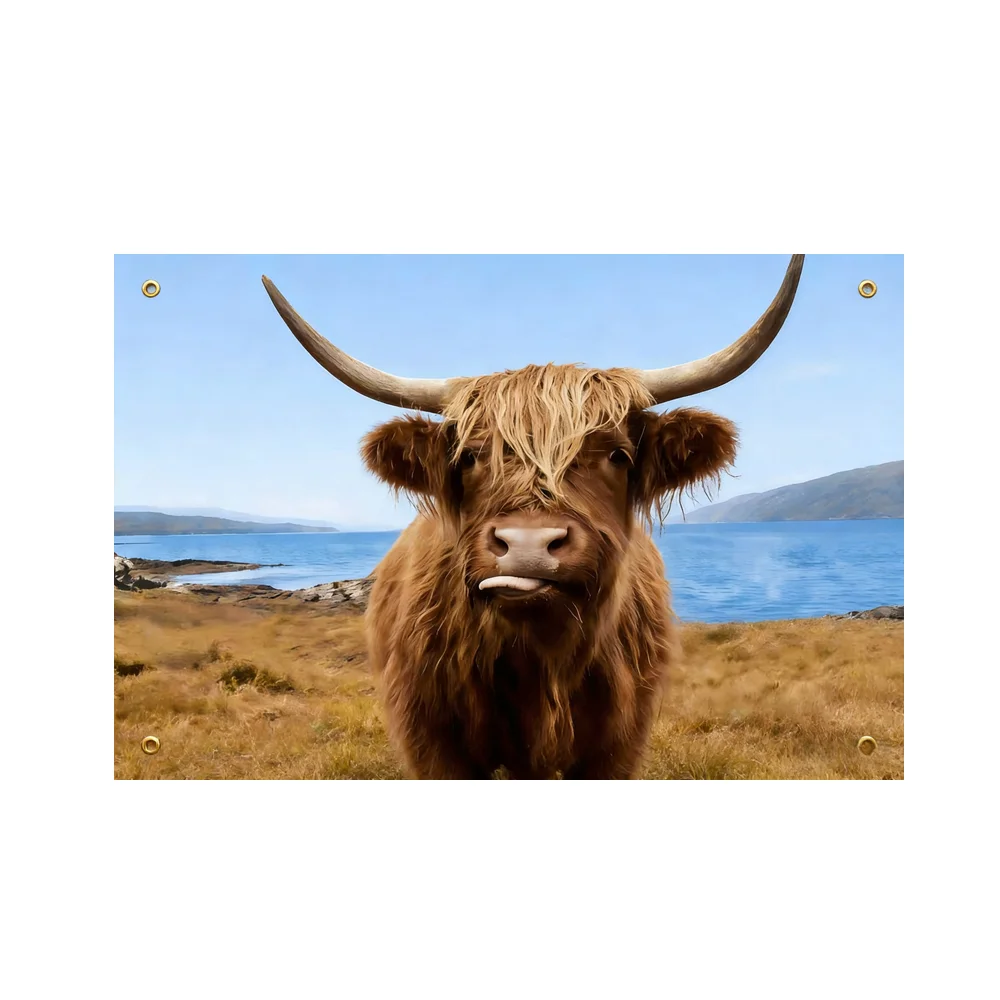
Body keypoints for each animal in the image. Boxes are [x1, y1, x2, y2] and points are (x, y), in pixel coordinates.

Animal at [262, 255, 804, 779]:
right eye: (468, 457)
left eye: (618, 456)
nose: (528, 546)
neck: (539, 661)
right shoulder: (431, 741)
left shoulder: (619, 743)